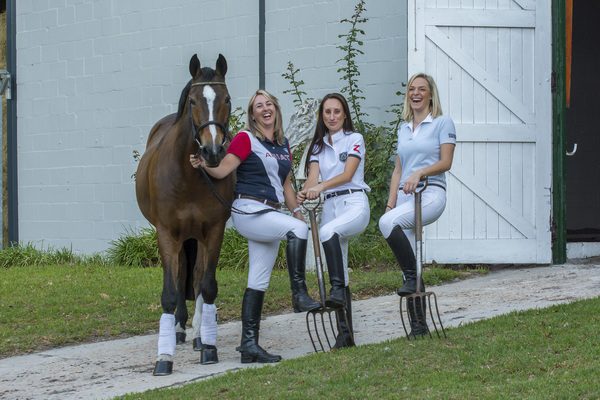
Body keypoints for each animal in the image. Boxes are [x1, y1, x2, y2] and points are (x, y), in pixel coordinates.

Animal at [136, 52, 234, 376]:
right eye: (192, 101)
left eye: (226, 99)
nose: (212, 151)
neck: (189, 176)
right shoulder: (166, 233)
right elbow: (170, 290)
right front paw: (164, 358)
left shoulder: (214, 230)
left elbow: (207, 285)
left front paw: (209, 347)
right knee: (180, 276)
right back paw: (178, 331)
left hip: (197, 237)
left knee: (195, 277)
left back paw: (198, 335)